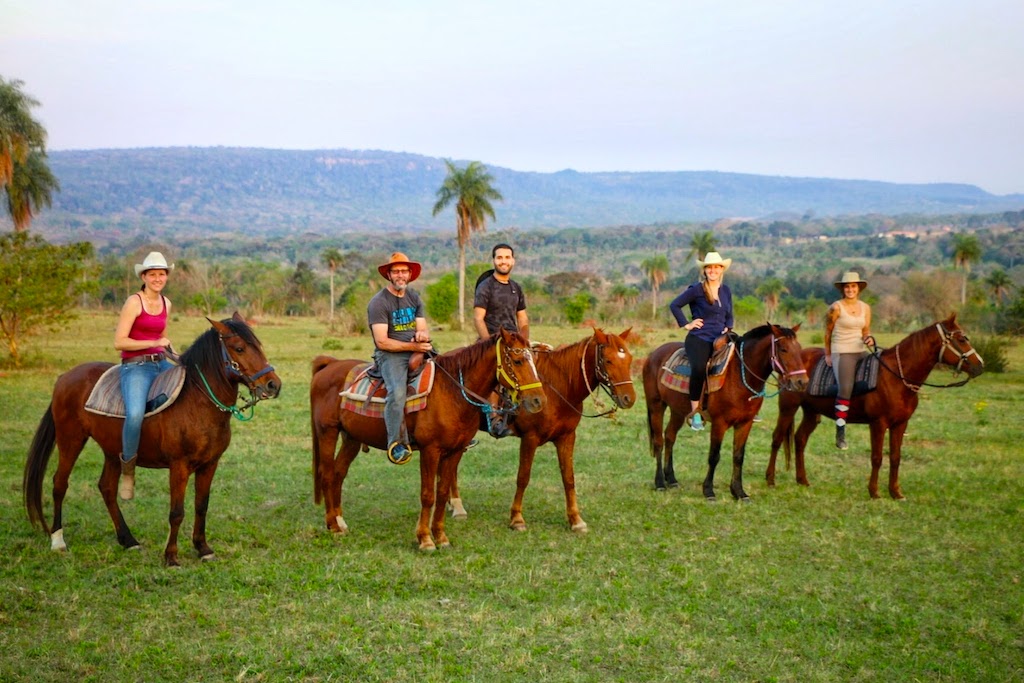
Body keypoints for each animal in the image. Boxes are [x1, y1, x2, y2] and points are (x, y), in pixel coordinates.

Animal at [24, 315, 280, 565]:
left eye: (258, 346)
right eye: (239, 348)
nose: (273, 385)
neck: (197, 402)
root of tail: (65, 377)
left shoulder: (209, 464)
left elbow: (201, 506)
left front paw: (203, 548)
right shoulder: (179, 466)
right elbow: (177, 512)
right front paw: (171, 556)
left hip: (112, 450)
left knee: (106, 488)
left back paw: (128, 540)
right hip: (71, 439)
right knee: (60, 483)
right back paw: (58, 541)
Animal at [309, 327, 544, 552]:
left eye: (533, 360)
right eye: (517, 361)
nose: (538, 401)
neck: (452, 393)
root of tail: (330, 365)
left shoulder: (454, 451)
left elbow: (441, 493)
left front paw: (440, 537)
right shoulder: (430, 450)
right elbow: (428, 495)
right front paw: (425, 539)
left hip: (351, 439)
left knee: (339, 473)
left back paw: (340, 520)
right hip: (328, 432)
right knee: (327, 474)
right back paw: (333, 525)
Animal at [450, 327, 634, 532]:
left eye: (629, 359)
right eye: (608, 360)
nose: (629, 398)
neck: (558, 389)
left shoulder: (567, 437)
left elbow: (568, 478)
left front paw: (576, 520)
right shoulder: (530, 438)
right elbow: (523, 477)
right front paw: (517, 518)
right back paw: (457, 507)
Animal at [638, 323, 806, 499]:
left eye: (799, 348)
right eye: (783, 349)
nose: (802, 382)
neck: (739, 375)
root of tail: (654, 354)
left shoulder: (745, 423)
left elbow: (738, 456)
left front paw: (739, 492)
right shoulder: (719, 423)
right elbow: (714, 456)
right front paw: (708, 490)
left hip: (678, 410)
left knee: (670, 436)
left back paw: (671, 479)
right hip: (656, 405)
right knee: (658, 441)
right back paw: (659, 483)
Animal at [770, 313, 983, 499]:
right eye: (962, 339)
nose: (980, 366)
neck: (896, 375)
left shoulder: (900, 424)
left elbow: (895, 457)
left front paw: (895, 492)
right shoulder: (878, 424)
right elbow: (877, 457)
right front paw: (874, 492)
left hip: (811, 412)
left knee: (800, 439)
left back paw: (802, 480)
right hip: (788, 408)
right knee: (777, 438)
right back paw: (770, 479)